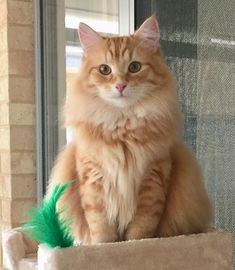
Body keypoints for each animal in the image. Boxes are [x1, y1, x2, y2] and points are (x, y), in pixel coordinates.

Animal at [47, 16, 213, 245]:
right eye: (104, 70)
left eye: (134, 67)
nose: (120, 86)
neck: (122, 127)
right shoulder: (93, 181)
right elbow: (101, 227)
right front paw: (104, 247)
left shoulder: (153, 180)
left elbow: (141, 229)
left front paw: (136, 244)